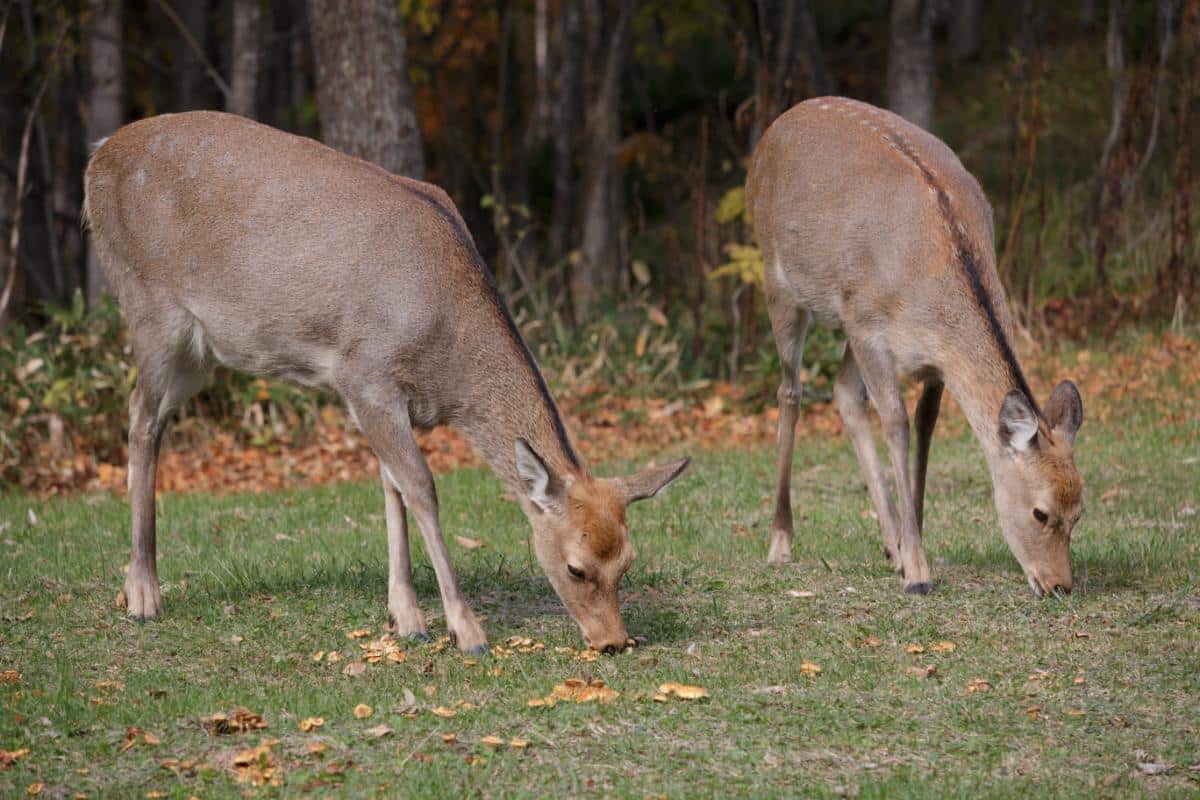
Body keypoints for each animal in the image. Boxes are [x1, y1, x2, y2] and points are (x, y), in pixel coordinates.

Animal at [83, 111, 689, 655]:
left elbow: (391, 486)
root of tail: (95, 159)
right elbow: (421, 488)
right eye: (576, 567)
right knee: (139, 417)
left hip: (200, 351)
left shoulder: (387, 397)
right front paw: (465, 630)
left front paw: (406, 617)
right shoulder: (365, 373)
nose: (613, 642)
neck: (447, 366)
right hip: (150, 309)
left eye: (628, 561)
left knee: (152, 417)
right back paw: (143, 593)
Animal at [747, 97, 1084, 597]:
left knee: (844, 393)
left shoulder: (932, 361)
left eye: (1079, 511)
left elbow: (925, 428)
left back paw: (891, 545)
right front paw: (919, 573)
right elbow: (897, 425)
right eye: (1040, 512)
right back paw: (781, 541)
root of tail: (773, 129)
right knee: (791, 392)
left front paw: (913, 545)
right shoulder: (870, 330)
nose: (1059, 584)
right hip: (782, 283)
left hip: (848, 321)